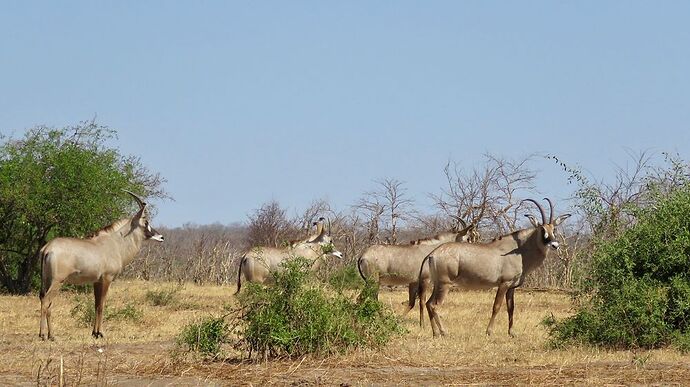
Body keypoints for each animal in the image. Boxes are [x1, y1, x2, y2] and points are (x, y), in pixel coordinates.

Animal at [39, 190, 164, 340]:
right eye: (146, 222)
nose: (161, 237)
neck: (116, 243)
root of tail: (47, 248)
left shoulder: (96, 282)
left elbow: (96, 304)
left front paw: (94, 333)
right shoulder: (106, 279)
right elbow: (102, 305)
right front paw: (100, 333)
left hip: (47, 281)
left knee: (45, 301)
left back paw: (50, 334)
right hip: (57, 281)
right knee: (46, 301)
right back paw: (45, 334)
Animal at [420, 199, 568, 338]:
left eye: (554, 229)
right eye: (542, 229)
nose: (555, 245)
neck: (520, 250)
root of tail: (433, 253)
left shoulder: (511, 287)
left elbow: (511, 308)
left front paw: (512, 332)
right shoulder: (504, 284)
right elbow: (496, 306)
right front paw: (489, 331)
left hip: (437, 284)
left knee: (428, 303)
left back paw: (435, 333)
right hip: (445, 284)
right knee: (434, 305)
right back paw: (444, 332)